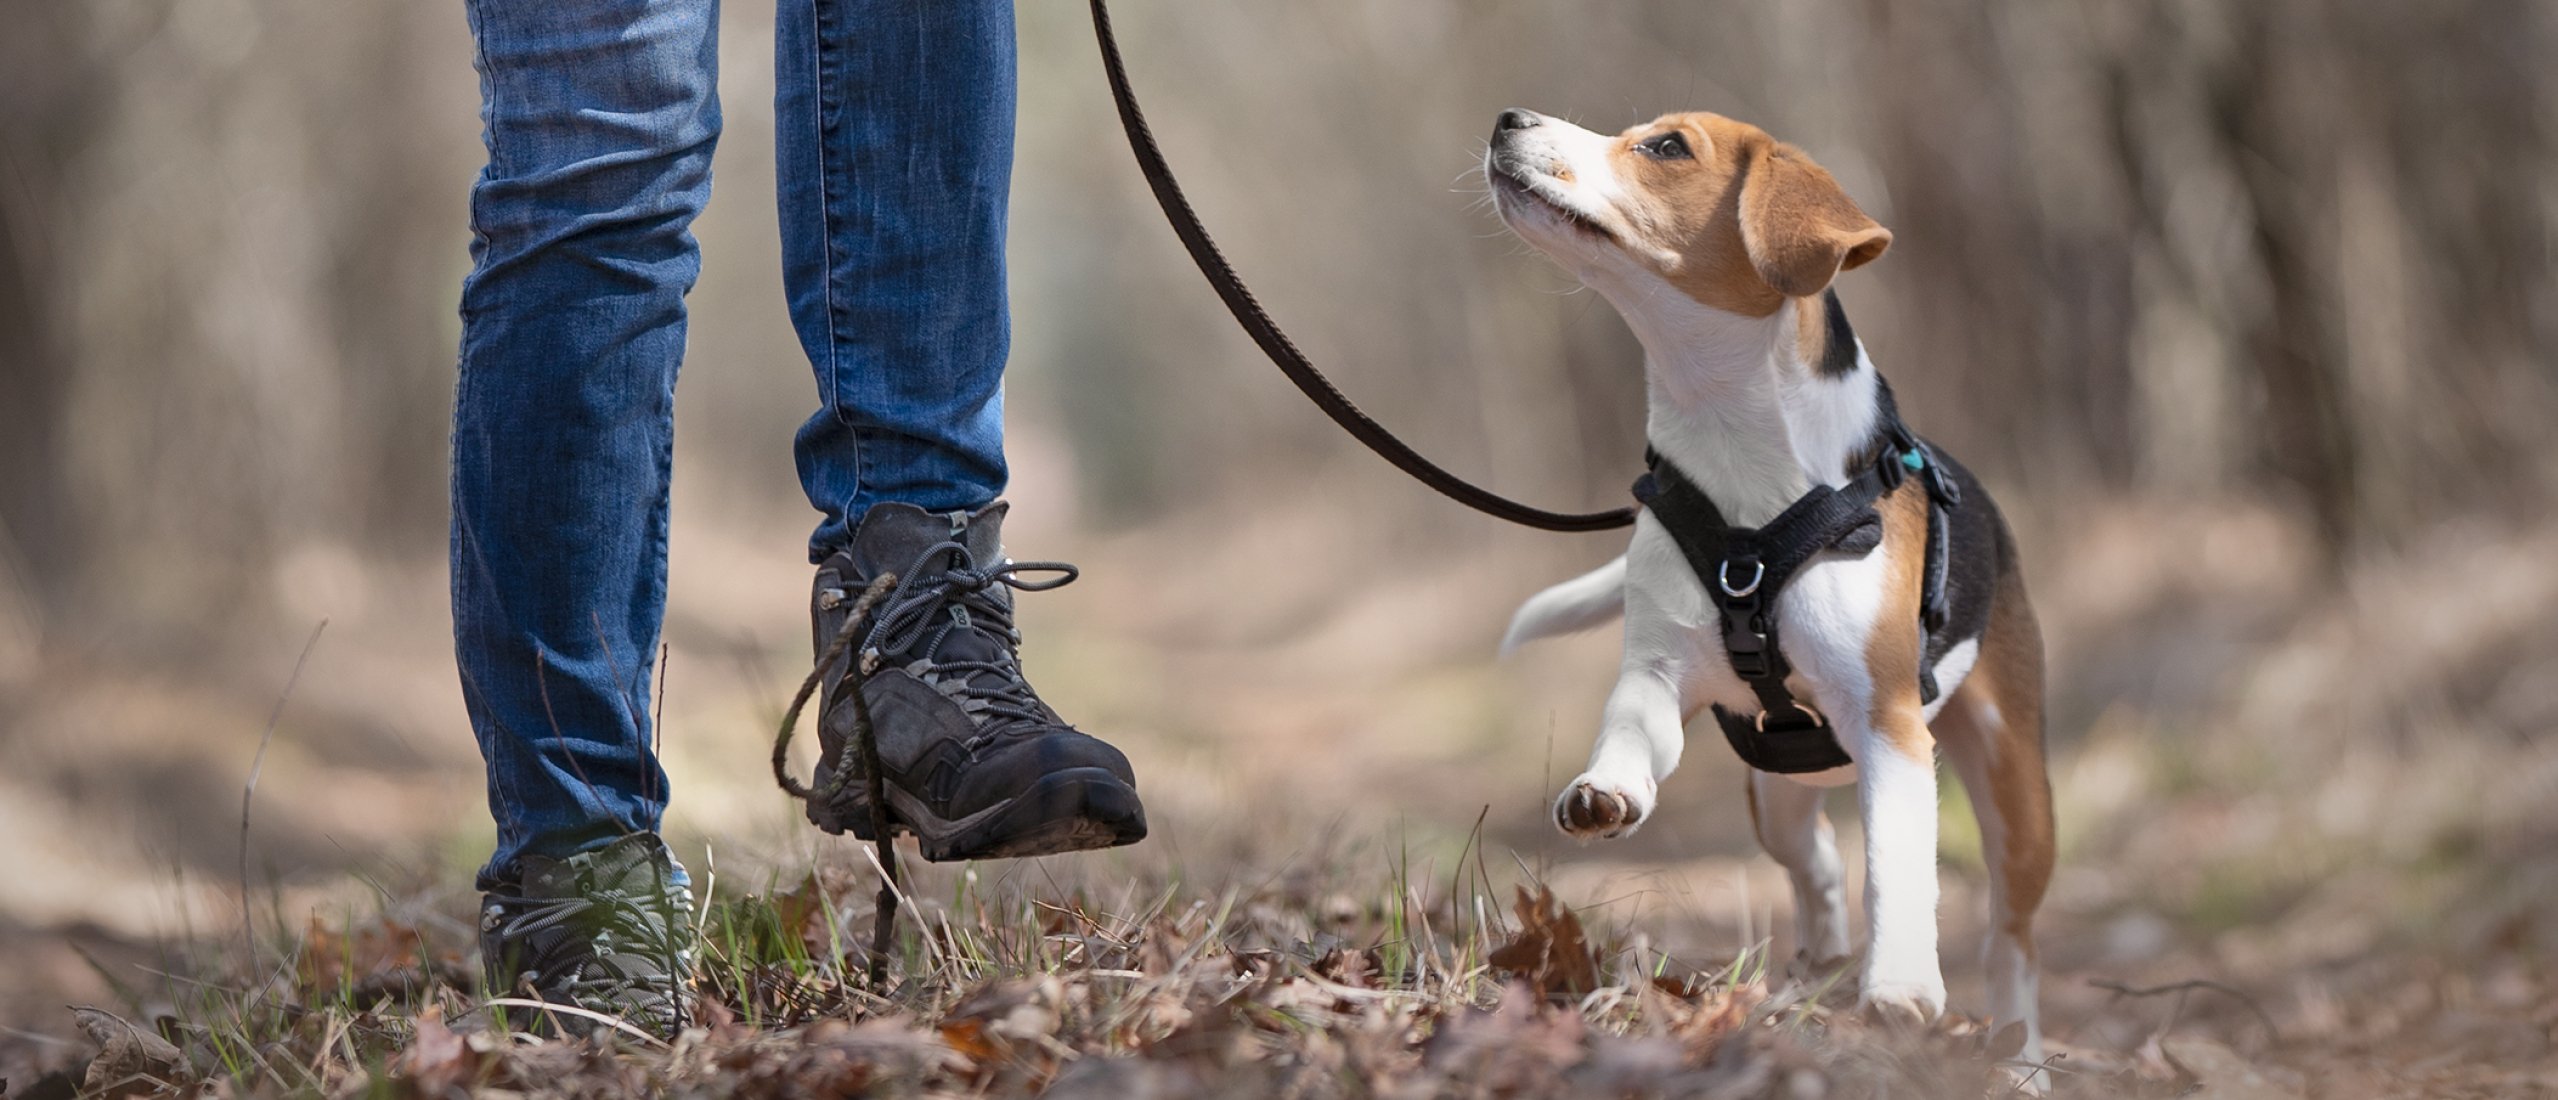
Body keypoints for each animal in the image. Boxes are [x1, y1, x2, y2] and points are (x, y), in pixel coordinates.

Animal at [1493, 107, 2056, 1069]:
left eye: (1665, 146)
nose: (1508, 120)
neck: (1730, 445)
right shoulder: (1658, 673)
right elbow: (1629, 730)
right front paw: (1609, 787)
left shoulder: (1889, 726)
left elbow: (1897, 867)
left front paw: (1902, 989)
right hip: (1776, 787)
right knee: (1816, 857)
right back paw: (1821, 951)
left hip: (2018, 798)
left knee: (2010, 941)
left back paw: (2018, 1058)